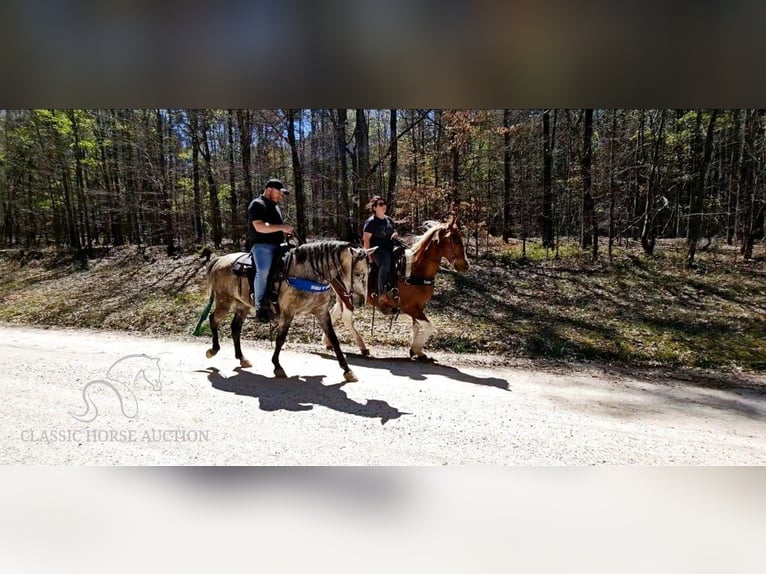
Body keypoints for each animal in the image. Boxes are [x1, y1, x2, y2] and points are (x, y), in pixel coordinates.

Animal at [201, 242, 376, 382]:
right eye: (357, 273)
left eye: (368, 273)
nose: (361, 301)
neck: (307, 273)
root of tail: (219, 260)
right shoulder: (288, 312)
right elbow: (280, 339)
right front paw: (277, 367)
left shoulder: (321, 312)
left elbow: (334, 339)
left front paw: (348, 371)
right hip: (224, 302)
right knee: (213, 319)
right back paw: (213, 350)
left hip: (242, 305)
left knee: (235, 328)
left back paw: (242, 358)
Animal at [328, 214, 472, 362]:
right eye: (455, 239)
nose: (465, 265)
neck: (416, 270)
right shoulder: (410, 307)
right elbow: (428, 326)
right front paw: (416, 348)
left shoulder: (419, 307)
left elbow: (416, 326)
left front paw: (417, 351)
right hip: (346, 296)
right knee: (346, 317)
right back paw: (363, 347)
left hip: (342, 295)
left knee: (333, 312)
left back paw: (328, 343)